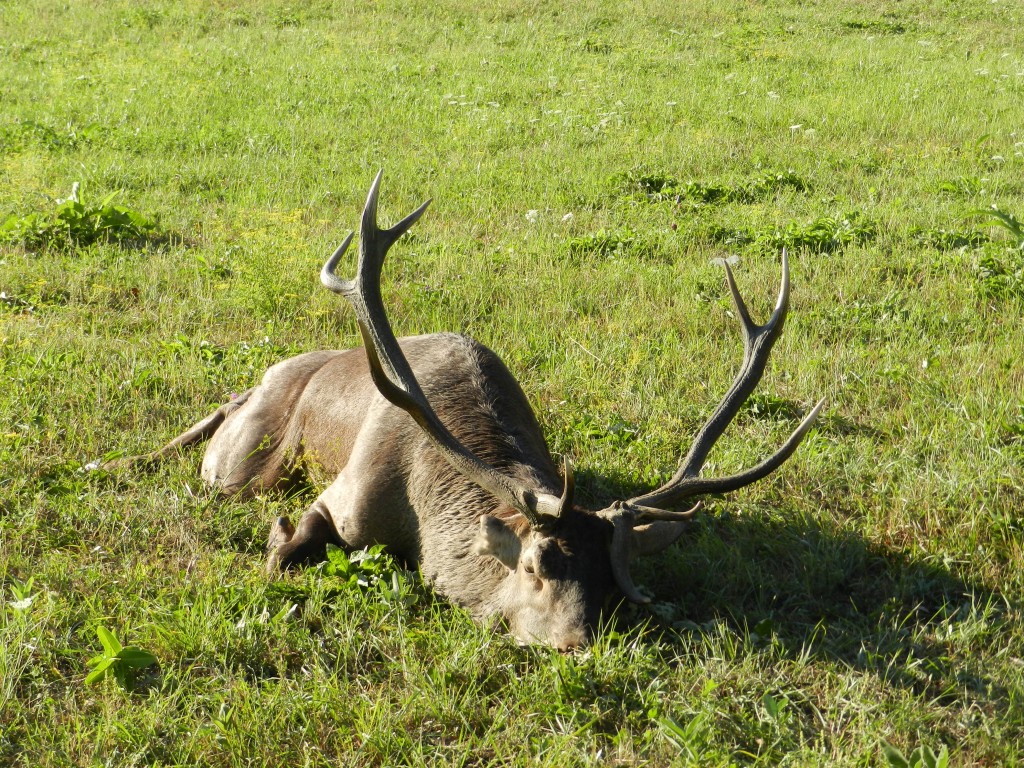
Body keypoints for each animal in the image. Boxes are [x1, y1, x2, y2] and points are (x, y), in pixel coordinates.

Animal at [113, 171, 824, 651]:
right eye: (536, 567)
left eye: (612, 588)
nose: (573, 645)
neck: (422, 515)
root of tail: (258, 379)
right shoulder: (344, 493)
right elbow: (290, 550)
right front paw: (278, 541)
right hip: (241, 457)